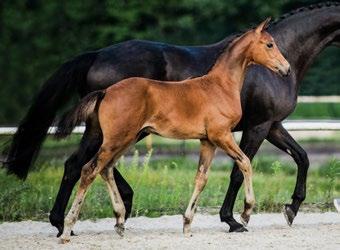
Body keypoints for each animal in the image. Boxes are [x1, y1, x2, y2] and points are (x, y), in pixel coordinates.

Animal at [56, 19, 290, 242]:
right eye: (269, 44)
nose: (286, 69)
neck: (220, 86)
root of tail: (105, 92)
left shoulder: (208, 141)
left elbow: (201, 178)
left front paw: (187, 224)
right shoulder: (221, 135)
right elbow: (245, 163)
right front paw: (246, 214)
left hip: (124, 139)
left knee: (106, 169)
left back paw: (120, 222)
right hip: (116, 140)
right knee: (89, 170)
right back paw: (67, 228)